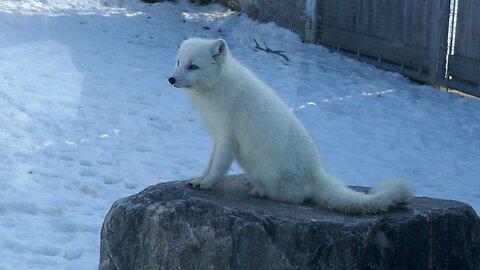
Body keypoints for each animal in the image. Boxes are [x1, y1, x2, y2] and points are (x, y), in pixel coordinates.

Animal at [167, 38, 410, 214]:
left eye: (193, 66)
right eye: (178, 62)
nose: (171, 79)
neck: (216, 89)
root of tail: (317, 171)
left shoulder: (228, 137)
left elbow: (218, 167)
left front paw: (207, 184)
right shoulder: (217, 135)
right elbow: (210, 163)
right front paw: (199, 179)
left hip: (272, 172)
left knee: (297, 197)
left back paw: (261, 191)